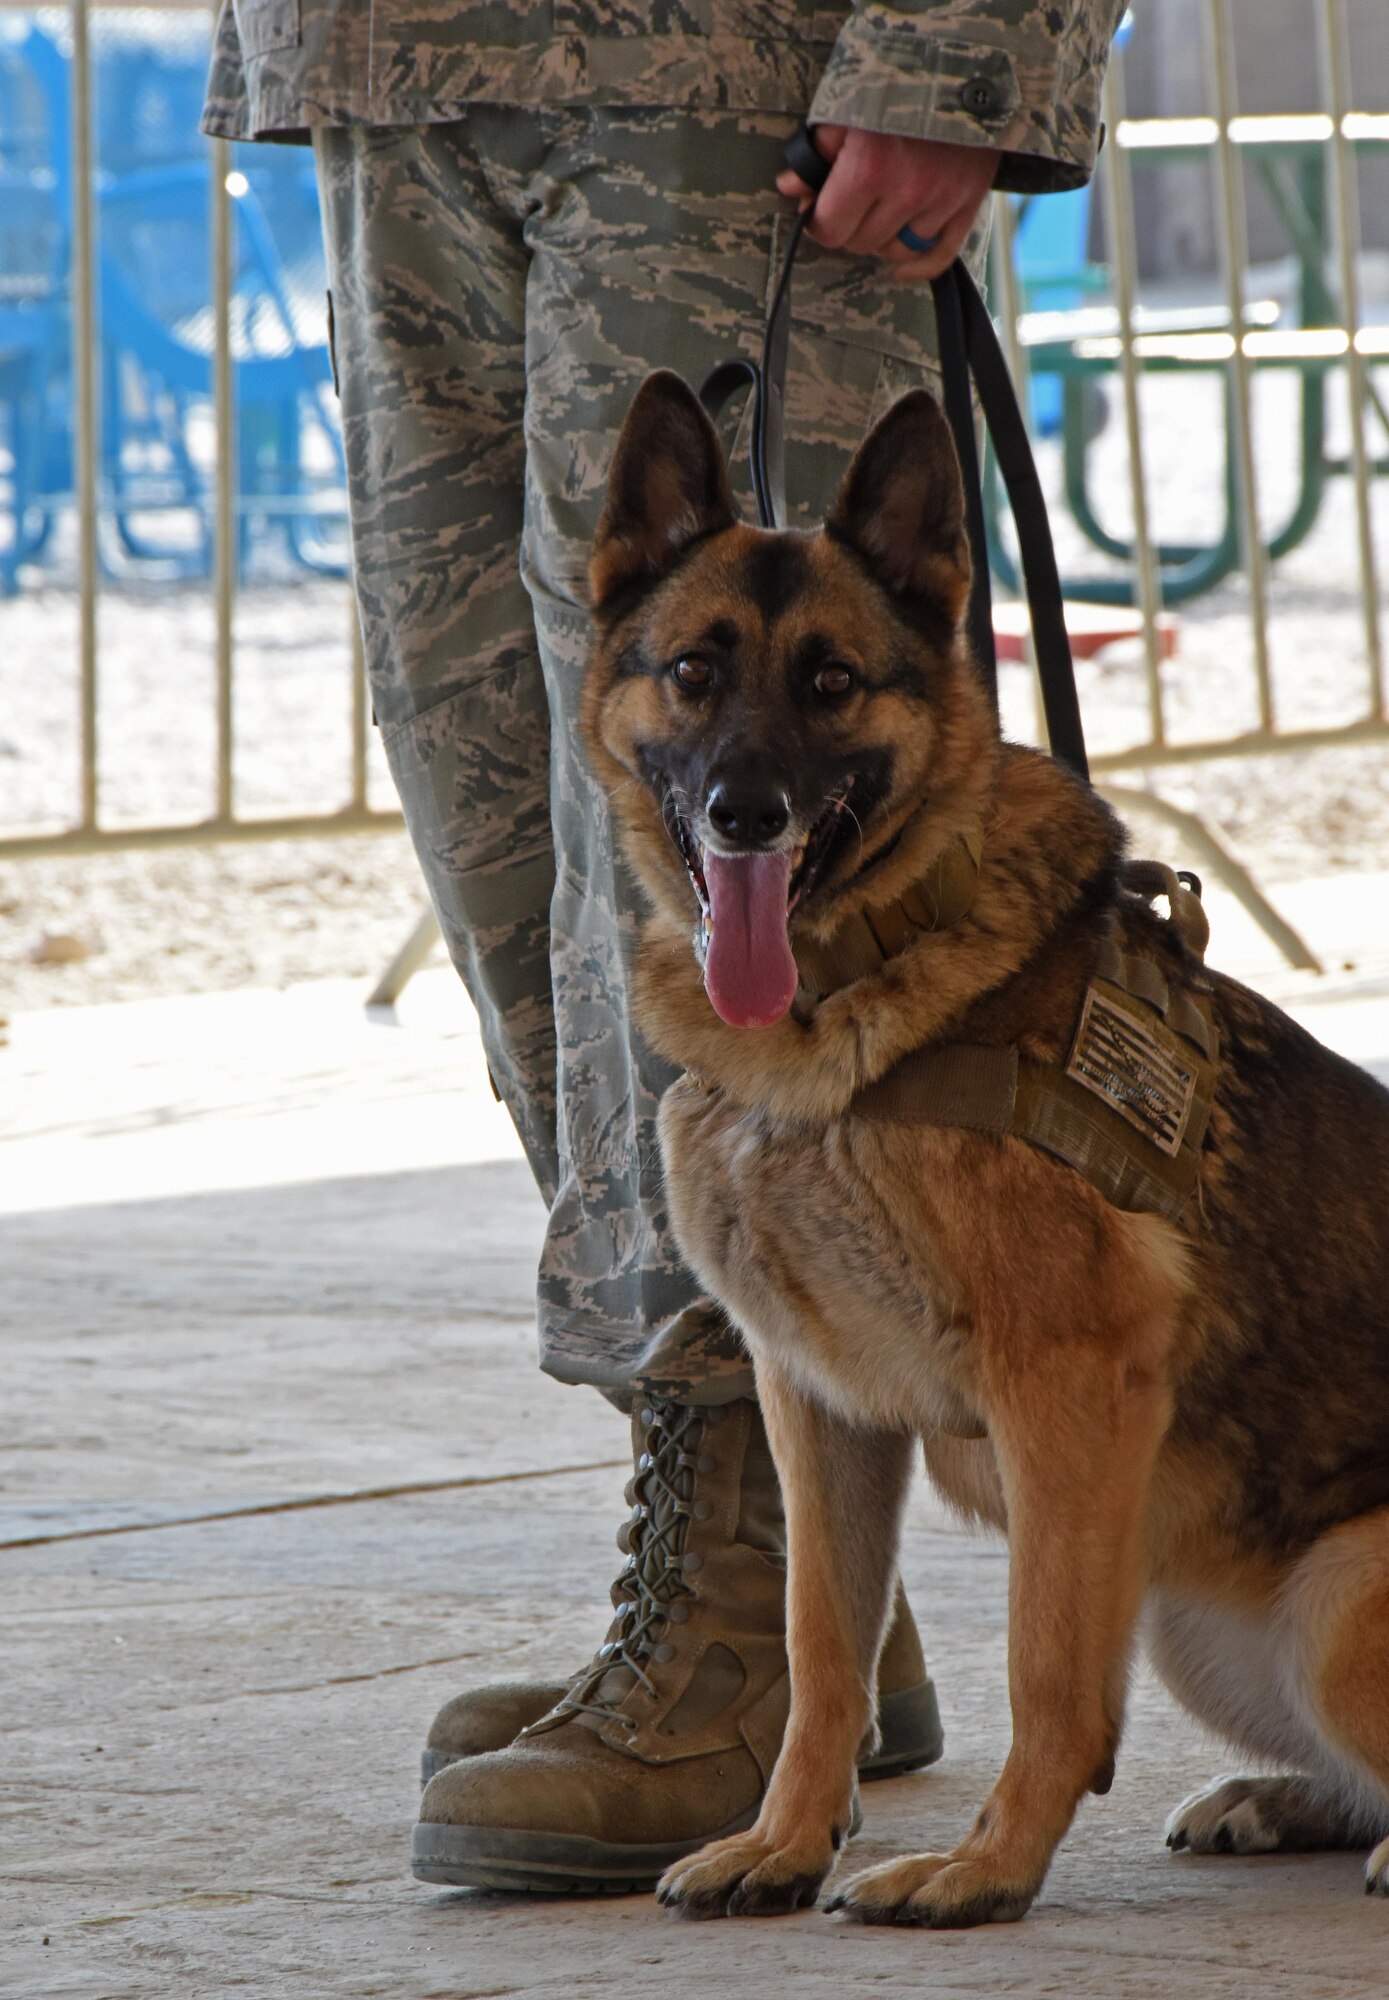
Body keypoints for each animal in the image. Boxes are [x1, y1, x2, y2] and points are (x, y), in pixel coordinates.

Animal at [580, 372, 1389, 1920]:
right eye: (697, 670)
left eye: (831, 682)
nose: (745, 813)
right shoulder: (812, 1405)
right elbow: (822, 1650)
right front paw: (787, 1841)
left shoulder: (1067, 1394)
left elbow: (1045, 1670)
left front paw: (986, 1868)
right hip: (1201, 1621)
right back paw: (1279, 1802)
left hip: (1328, 1604)